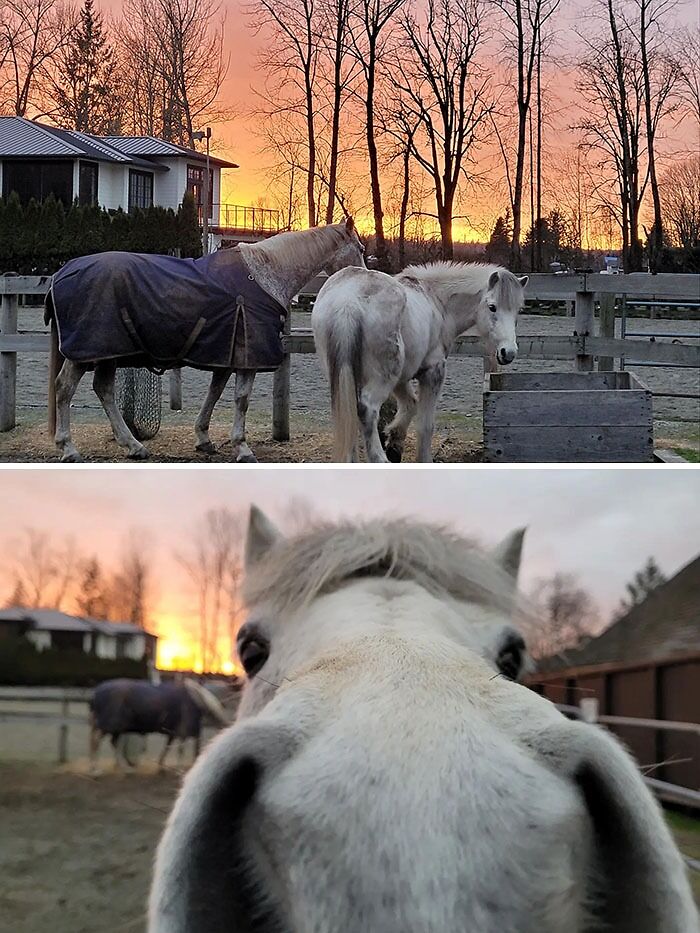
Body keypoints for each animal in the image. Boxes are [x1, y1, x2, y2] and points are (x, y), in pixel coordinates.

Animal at [45, 218, 365, 463]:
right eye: (360, 248)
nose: (364, 275)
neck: (266, 273)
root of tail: (61, 273)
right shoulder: (247, 358)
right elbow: (241, 400)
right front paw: (242, 448)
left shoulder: (224, 355)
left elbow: (214, 393)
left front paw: (204, 439)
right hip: (87, 352)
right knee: (65, 389)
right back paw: (69, 448)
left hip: (108, 353)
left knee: (104, 390)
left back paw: (133, 446)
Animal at [89, 677, 228, 772]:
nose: (224, 726)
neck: (197, 700)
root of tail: (96, 692)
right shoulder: (183, 732)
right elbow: (181, 749)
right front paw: (179, 768)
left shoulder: (175, 733)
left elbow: (168, 747)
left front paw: (161, 766)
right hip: (108, 726)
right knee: (97, 742)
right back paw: (98, 769)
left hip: (115, 728)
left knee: (113, 743)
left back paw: (121, 767)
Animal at [311, 262, 528, 462]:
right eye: (492, 307)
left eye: (517, 310)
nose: (508, 352)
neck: (437, 301)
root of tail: (347, 301)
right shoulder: (432, 373)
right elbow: (425, 425)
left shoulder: (401, 378)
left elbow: (410, 404)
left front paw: (395, 444)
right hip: (382, 379)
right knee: (367, 409)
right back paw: (380, 458)